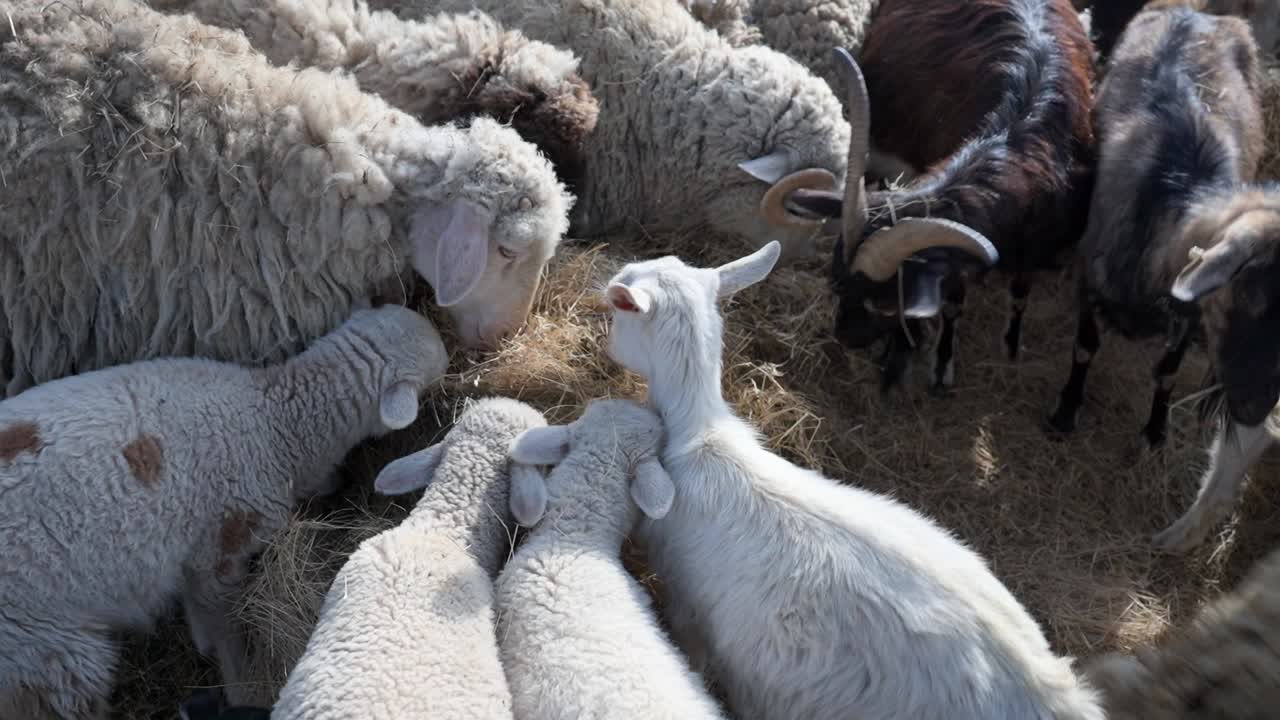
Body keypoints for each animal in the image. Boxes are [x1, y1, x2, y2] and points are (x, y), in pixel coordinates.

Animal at [0, 305, 448, 719]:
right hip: (42, 648)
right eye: (439, 367)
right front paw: (243, 687)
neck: (277, 422)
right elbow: (225, 625)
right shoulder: (222, 545)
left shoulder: (197, 558)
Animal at [759, 0, 1097, 394]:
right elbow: (951, 301)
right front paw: (927, 361)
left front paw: (1009, 343)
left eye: (886, 306)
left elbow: (1020, 288)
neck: (1019, 137)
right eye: (836, 282)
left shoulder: (1039, 241)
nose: (845, 338)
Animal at [1044, 6, 1266, 463]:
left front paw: (1155, 430)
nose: (1256, 408)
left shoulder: (1188, 309)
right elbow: (1084, 347)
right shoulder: (1089, 277)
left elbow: (1167, 372)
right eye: (1254, 298)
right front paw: (1065, 411)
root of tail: (1197, 13)